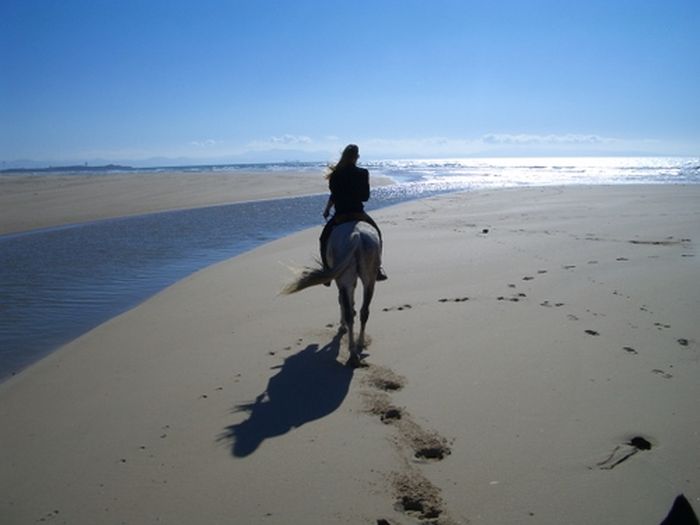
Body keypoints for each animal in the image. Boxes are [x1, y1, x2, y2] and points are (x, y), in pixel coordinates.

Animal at [284, 220, 382, 364]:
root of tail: (357, 235)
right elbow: (350, 300)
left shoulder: (340, 282)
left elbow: (341, 301)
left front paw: (342, 326)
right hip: (369, 278)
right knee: (364, 311)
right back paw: (360, 343)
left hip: (344, 278)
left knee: (348, 312)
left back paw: (352, 353)